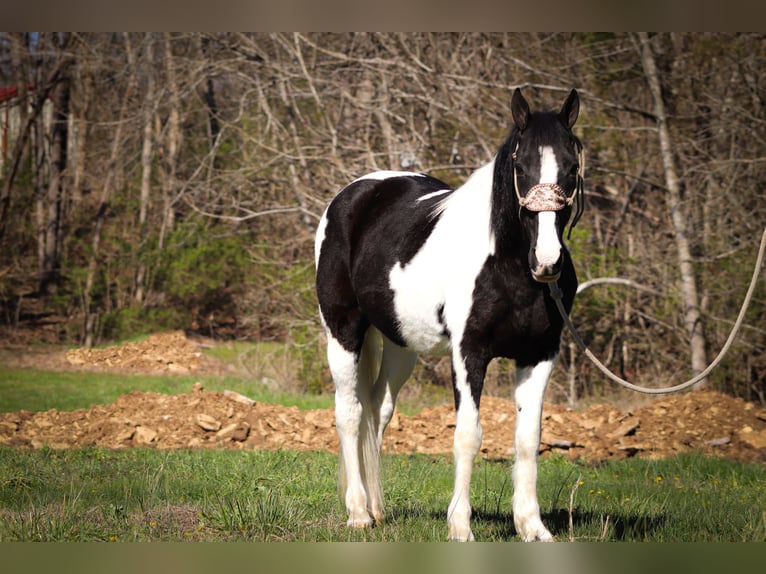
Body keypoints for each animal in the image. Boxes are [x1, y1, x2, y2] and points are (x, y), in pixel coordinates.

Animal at [316, 88, 584, 544]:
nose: (547, 261)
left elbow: (528, 438)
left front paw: (532, 527)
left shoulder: (540, 354)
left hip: (401, 345)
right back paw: (358, 513)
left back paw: (377, 510)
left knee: (377, 410)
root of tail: (353, 194)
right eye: (521, 165)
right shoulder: (468, 353)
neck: (508, 265)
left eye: (571, 166)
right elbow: (468, 435)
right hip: (343, 331)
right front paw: (460, 526)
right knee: (349, 414)